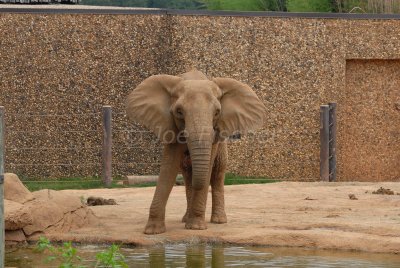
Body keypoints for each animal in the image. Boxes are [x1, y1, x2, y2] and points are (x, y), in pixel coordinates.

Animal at [126, 69, 268, 234]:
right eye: (179, 111)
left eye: (217, 112)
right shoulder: (171, 125)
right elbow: (169, 167)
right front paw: (153, 231)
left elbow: (207, 169)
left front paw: (196, 228)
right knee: (188, 176)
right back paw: (186, 218)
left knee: (217, 173)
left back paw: (218, 220)